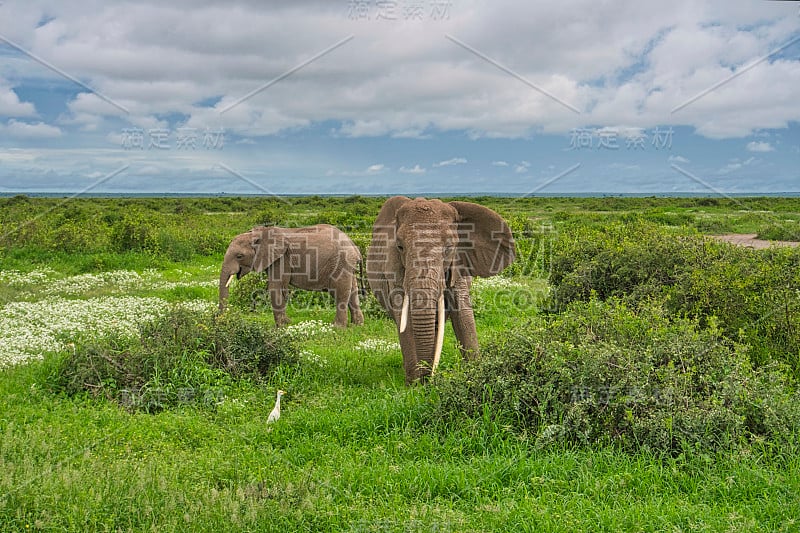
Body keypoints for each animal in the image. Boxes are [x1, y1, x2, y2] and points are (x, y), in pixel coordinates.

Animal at [217, 222, 364, 326]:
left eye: (239, 256)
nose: (222, 321)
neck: (260, 233)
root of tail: (354, 246)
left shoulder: (281, 258)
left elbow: (275, 287)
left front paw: (282, 326)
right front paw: (287, 323)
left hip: (341, 263)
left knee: (340, 292)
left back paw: (337, 327)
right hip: (347, 265)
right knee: (353, 291)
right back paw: (357, 325)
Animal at [368, 195, 516, 382]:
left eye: (449, 248)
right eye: (400, 247)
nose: (427, 379)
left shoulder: (459, 264)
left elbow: (463, 315)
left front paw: (475, 373)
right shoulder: (394, 269)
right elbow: (404, 318)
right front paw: (415, 384)